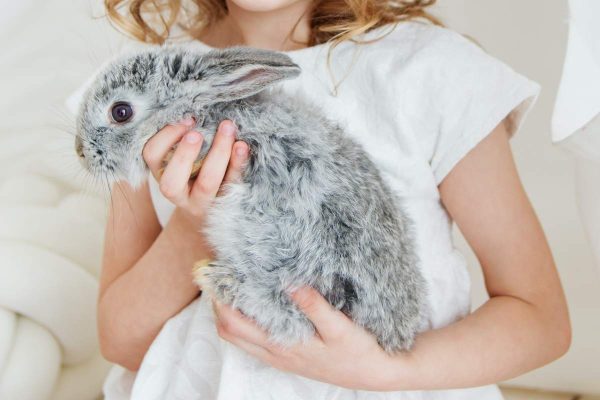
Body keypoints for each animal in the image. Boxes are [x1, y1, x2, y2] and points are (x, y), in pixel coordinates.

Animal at [75, 46, 428, 354]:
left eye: (121, 112)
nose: (80, 152)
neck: (206, 110)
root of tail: (397, 337)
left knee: (291, 319)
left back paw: (214, 277)